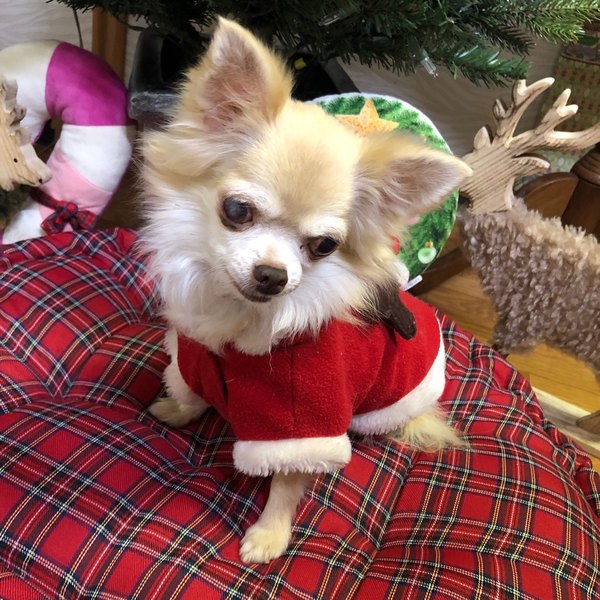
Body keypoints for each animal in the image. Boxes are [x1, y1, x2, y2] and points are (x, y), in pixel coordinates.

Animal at [139, 18, 471, 564]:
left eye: (323, 246)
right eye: (237, 211)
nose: (273, 275)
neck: (239, 319)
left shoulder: (305, 420)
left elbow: (287, 478)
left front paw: (270, 534)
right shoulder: (193, 355)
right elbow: (191, 389)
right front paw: (177, 408)